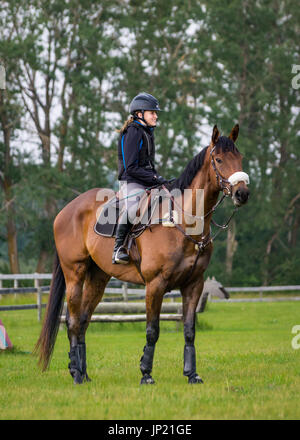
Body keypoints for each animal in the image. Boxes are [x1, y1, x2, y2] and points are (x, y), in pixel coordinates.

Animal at [34, 124, 250, 384]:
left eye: (240, 158)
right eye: (219, 159)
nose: (242, 193)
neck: (182, 221)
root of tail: (65, 210)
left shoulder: (194, 284)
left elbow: (189, 331)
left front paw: (192, 374)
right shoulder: (155, 284)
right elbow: (152, 330)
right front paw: (146, 373)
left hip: (98, 278)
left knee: (84, 320)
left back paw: (83, 374)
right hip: (74, 274)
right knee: (74, 321)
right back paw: (76, 373)